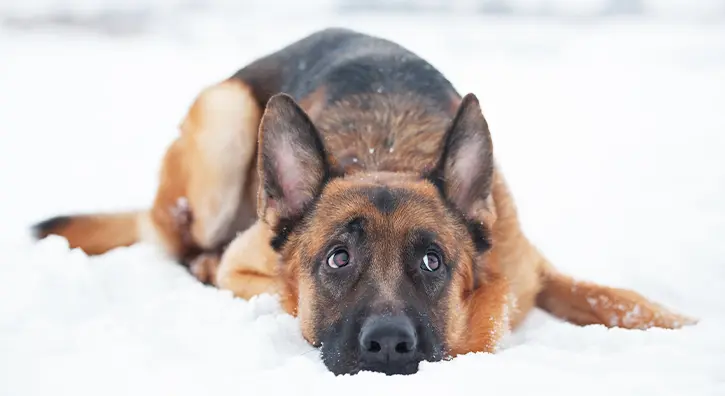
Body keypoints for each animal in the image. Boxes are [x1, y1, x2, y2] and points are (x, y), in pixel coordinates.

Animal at [34, 28, 696, 378]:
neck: (389, 153)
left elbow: (612, 297)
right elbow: (270, 289)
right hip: (224, 125)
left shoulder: (534, 268)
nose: (388, 346)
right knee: (181, 247)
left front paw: (682, 326)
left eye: (432, 260)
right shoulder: (245, 268)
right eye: (337, 258)